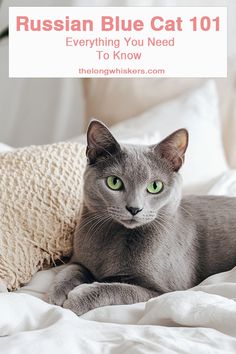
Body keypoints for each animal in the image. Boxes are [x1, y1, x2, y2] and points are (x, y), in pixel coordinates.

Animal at [48, 119, 236, 316]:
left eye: (155, 186)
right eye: (114, 182)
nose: (134, 208)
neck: (115, 237)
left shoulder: (164, 291)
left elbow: (118, 288)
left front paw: (77, 298)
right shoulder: (79, 258)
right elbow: (71, 268)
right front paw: (59, 292)